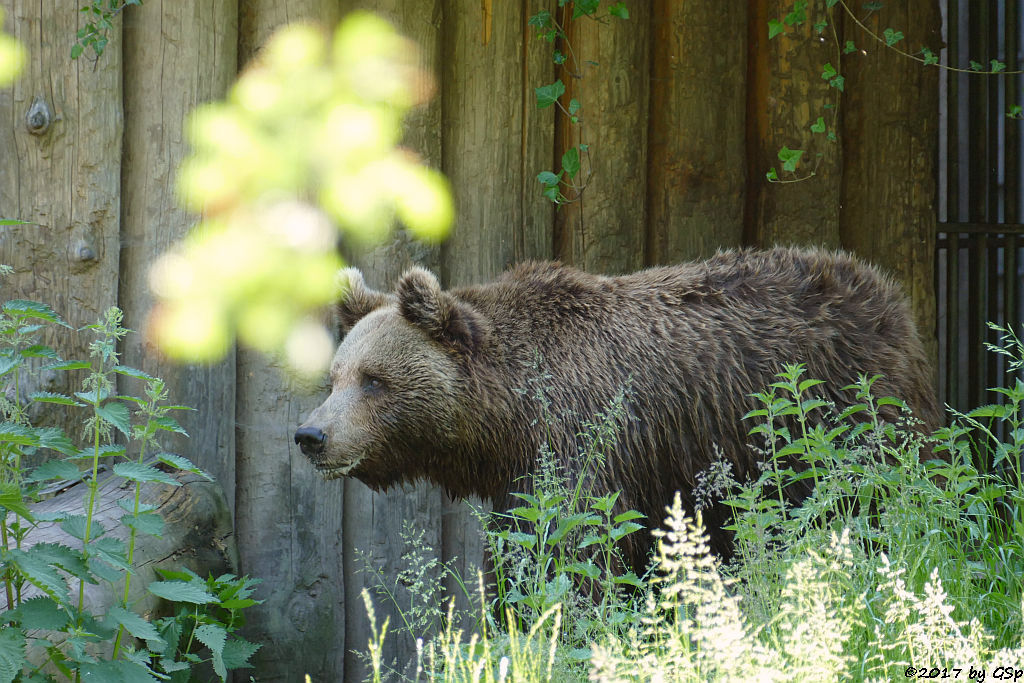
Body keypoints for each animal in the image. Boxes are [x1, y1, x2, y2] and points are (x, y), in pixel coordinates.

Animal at [292, 248, 937, 573]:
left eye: (374, 380)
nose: (311, 435)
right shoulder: (524, 472)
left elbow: (574, 549)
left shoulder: (586, 442)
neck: (507, 416)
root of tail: (883, 287)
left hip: (843, 415)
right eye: (335, 376)